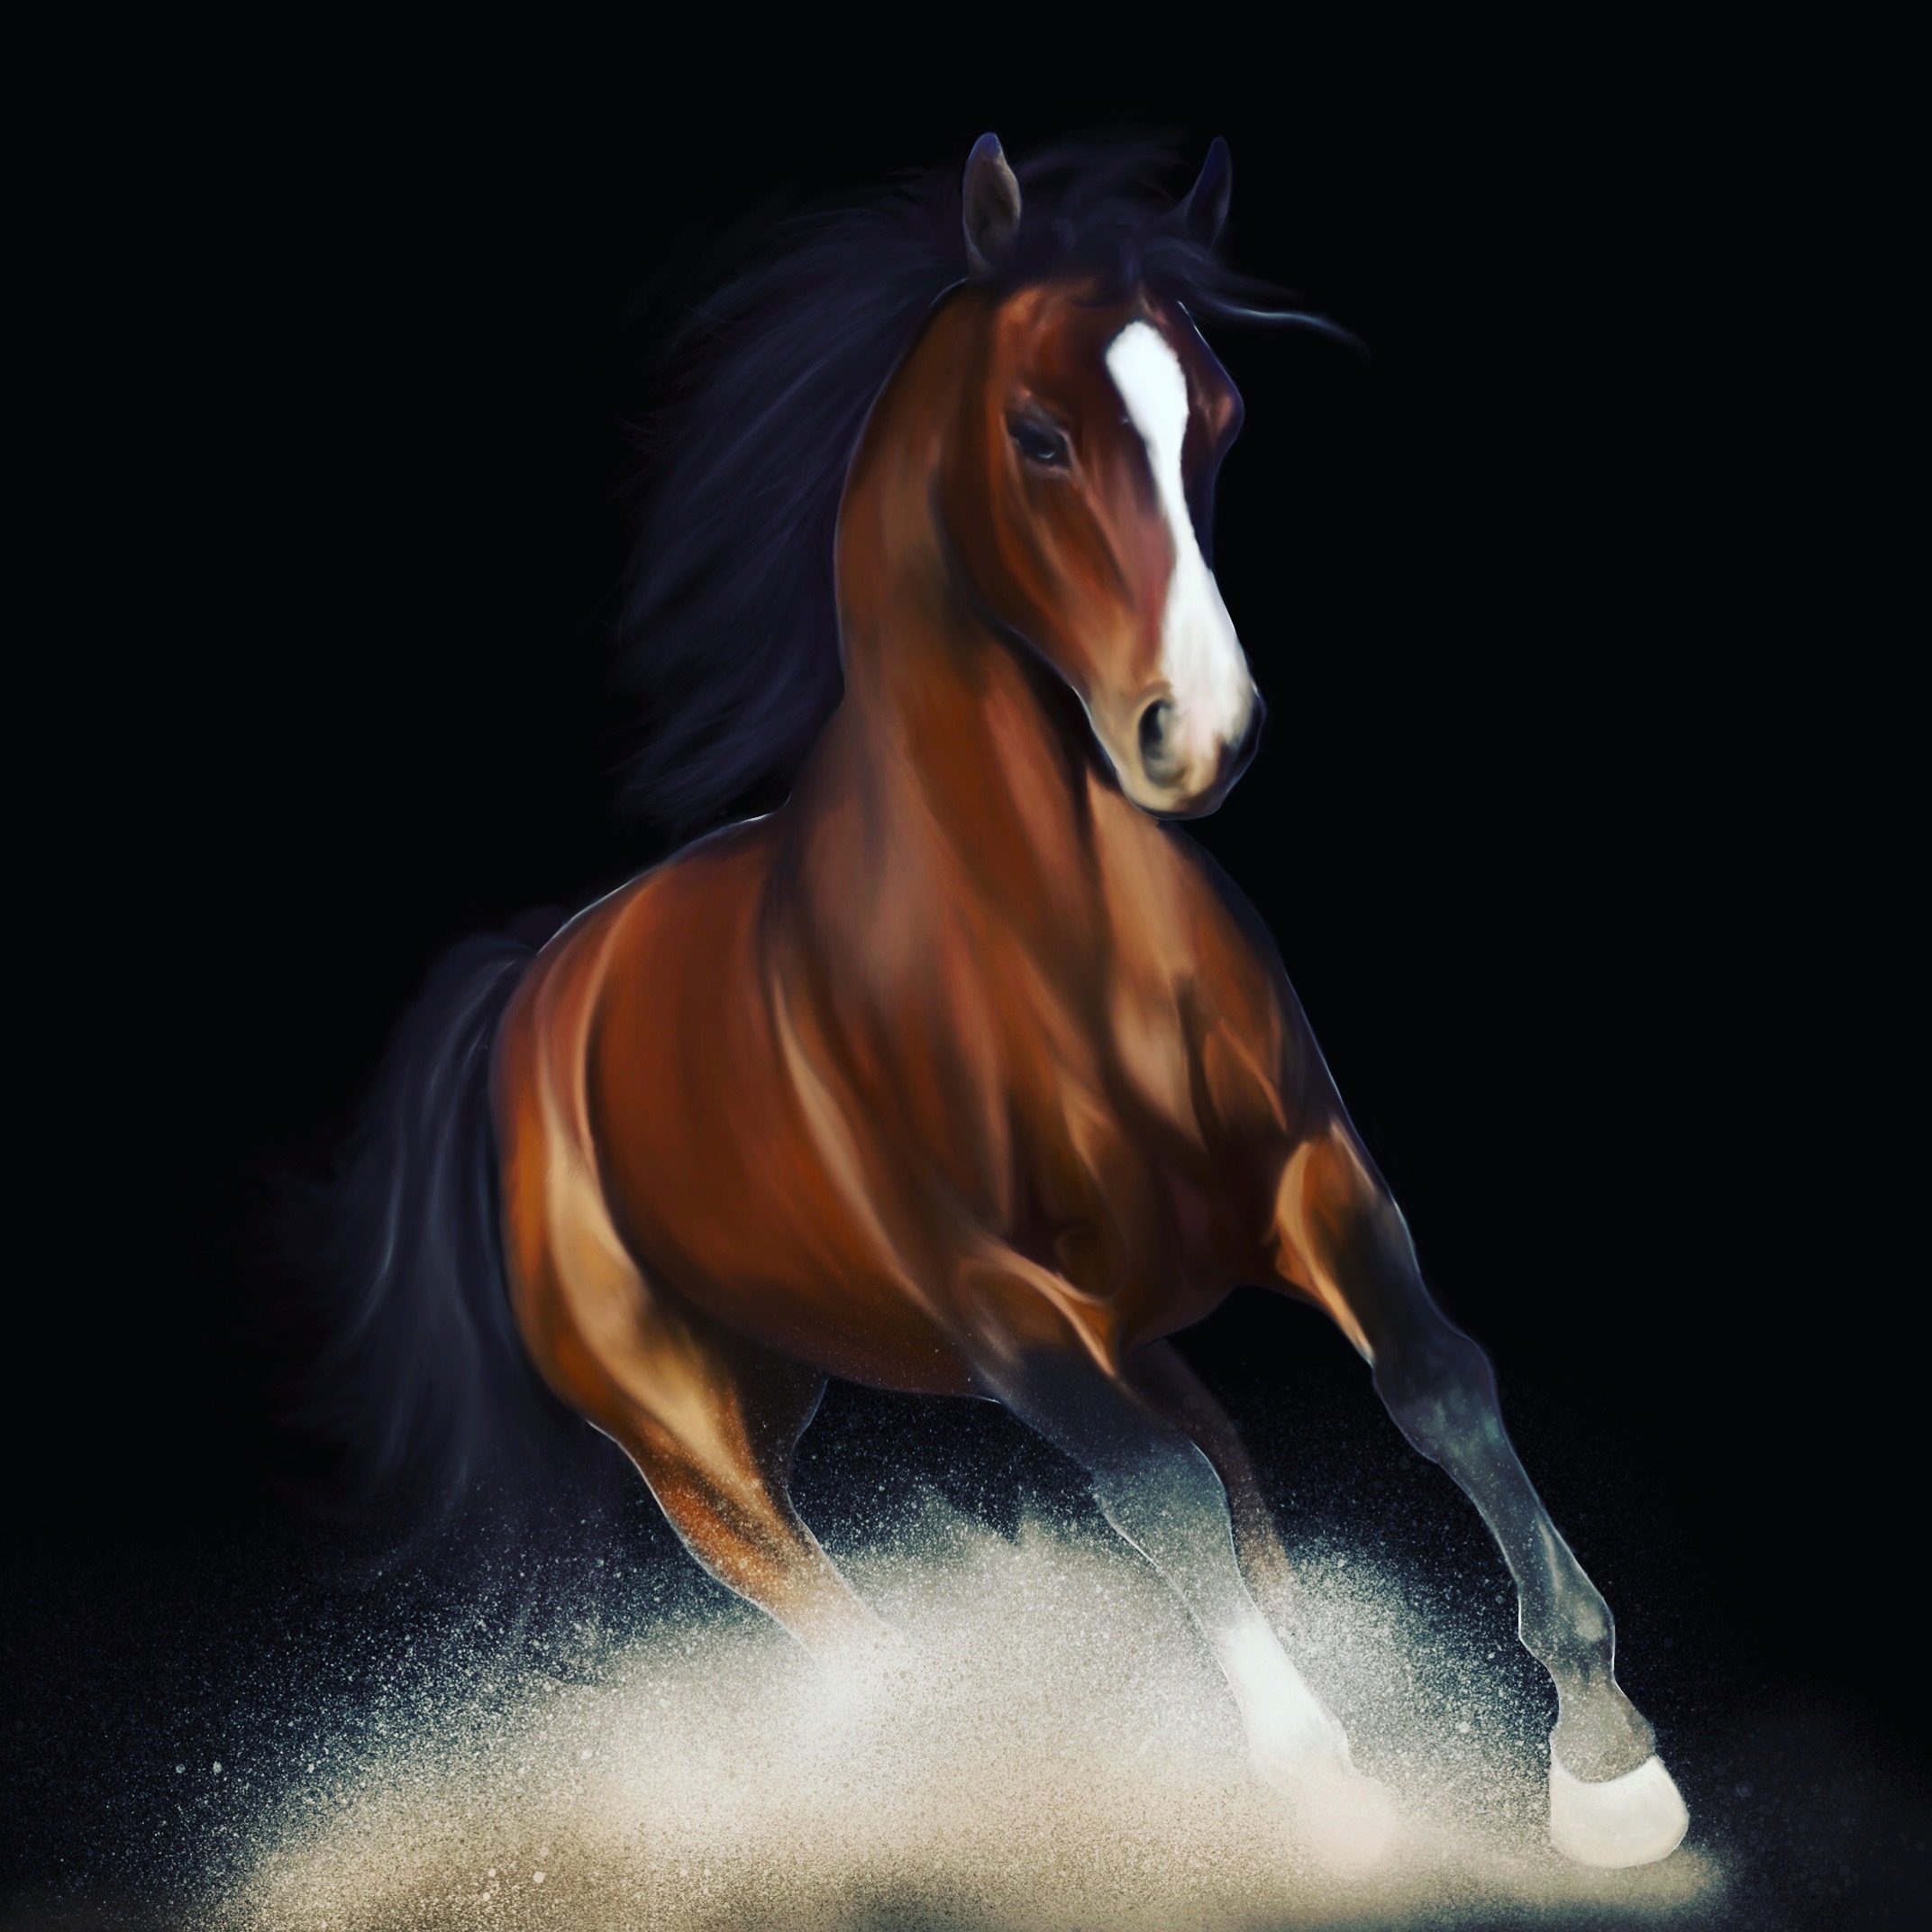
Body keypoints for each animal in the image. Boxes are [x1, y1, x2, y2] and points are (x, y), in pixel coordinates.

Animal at [333, 133, 1688, 1871]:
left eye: (1218, 420)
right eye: (1037, 434)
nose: (1201, 734)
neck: (1055, 952)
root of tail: (544, 981)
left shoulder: (1312, 1176)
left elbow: (1437, 1384)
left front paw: (1604, 1760)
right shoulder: (998, 1310)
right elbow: (1157, 1498)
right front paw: (1321, 1788)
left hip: (1083, 1337)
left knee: (1226, 1473)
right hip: (693, 1442)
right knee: (853, 1616)